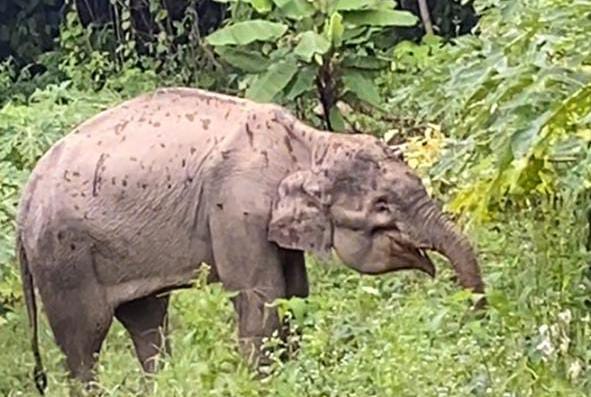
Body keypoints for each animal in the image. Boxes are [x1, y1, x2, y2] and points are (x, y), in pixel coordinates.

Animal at [16, 86, 486, 392]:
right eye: (383, 207)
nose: (473, 317)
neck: (305, 144)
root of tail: (24, 201)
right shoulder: (235, 208)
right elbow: (262, 295)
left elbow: (295, 293)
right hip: (64, 258)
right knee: (84, 342)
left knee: (147, 322)